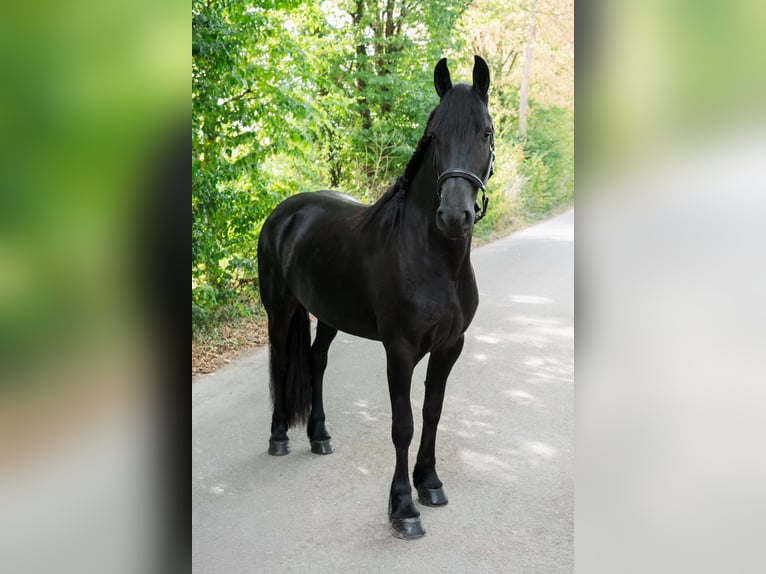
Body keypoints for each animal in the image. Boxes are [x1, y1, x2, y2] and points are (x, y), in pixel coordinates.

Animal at [257, 56, 494, 539]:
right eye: (434, 135)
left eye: (485, 132)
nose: (454, 216)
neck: (432, 258)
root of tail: (283, 214)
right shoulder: (399, 351)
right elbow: (402, 425)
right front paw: (403, 508)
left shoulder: (450, 347)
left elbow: (432, 412)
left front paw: (430, 483)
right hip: (280, 310)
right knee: (283, 363)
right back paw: (279, 438)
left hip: (327, 314)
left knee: (316, 362)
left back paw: (319, 436)